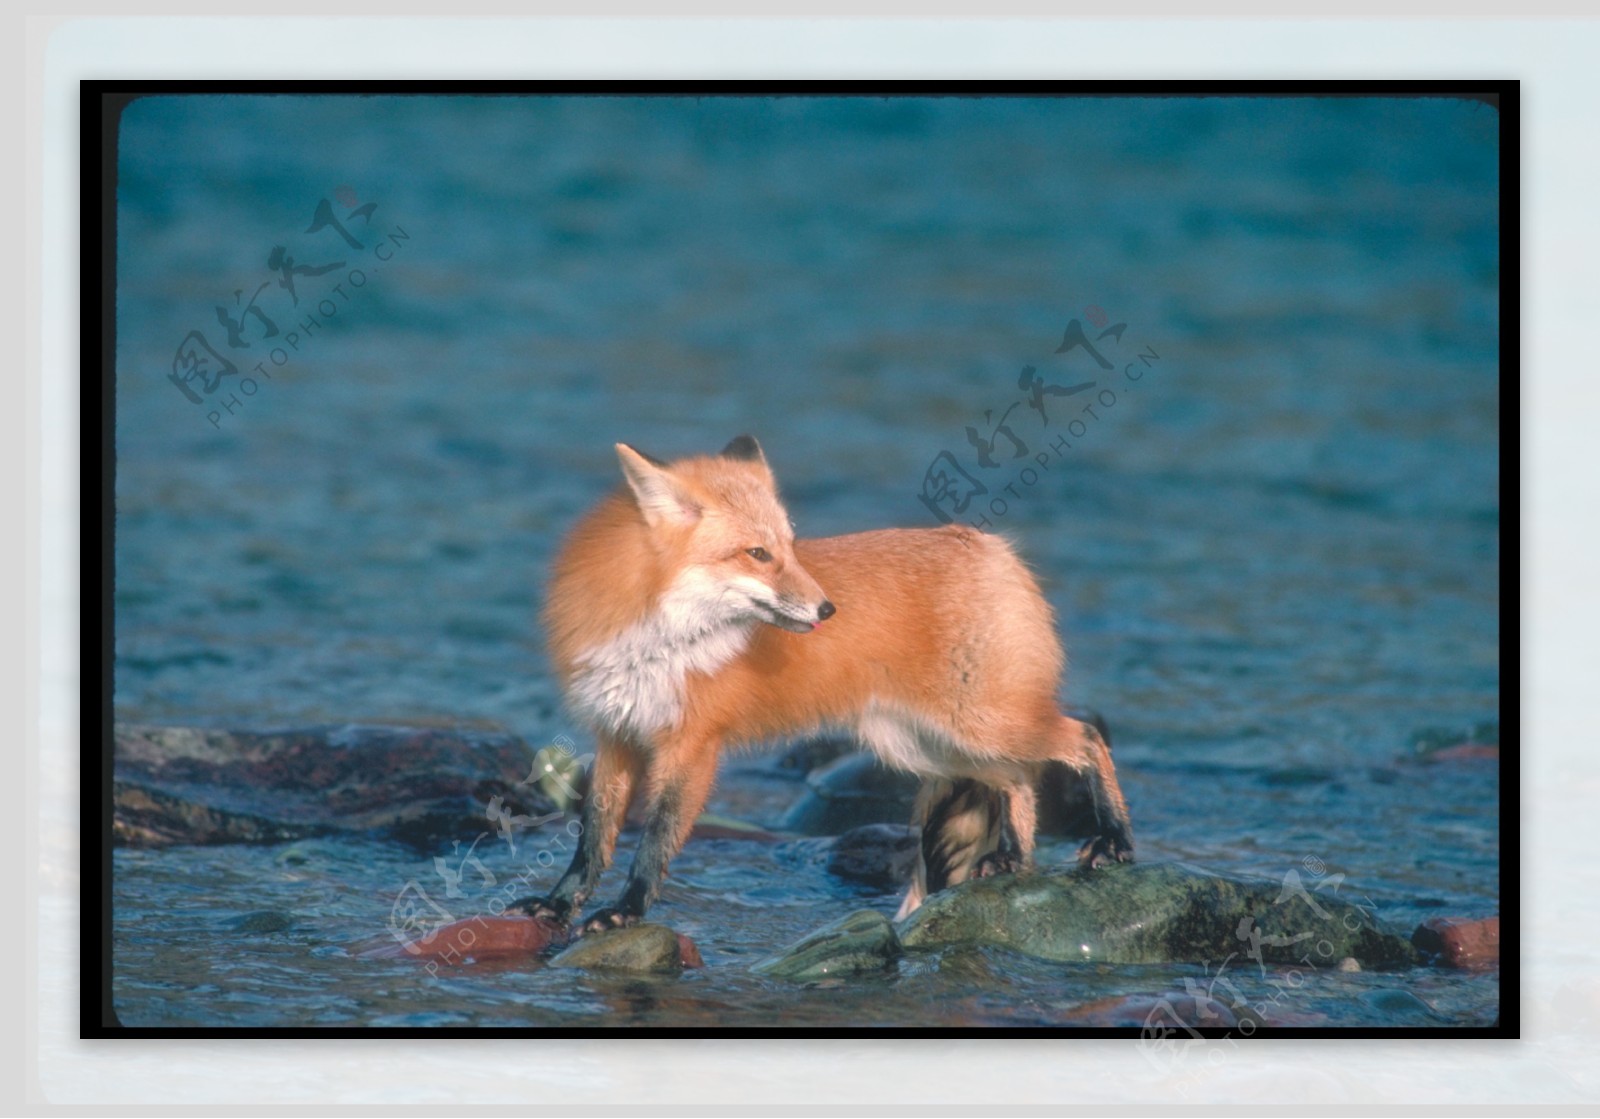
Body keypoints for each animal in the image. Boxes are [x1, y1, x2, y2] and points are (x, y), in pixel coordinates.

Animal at [515, 438, 1139, 934]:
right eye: (758, 553)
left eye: (791, 547)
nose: (828, 609)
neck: (651, 637)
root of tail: (991, 547)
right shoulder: (616, 735)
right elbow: (593, 840)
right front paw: (559, 905)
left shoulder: (690, 747)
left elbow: (653, 844)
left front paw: (626, 911)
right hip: (929, 747)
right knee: (1018, 780)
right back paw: (1013, 858)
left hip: (978, 726)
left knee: (1082, 739)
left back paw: (1114, 842)